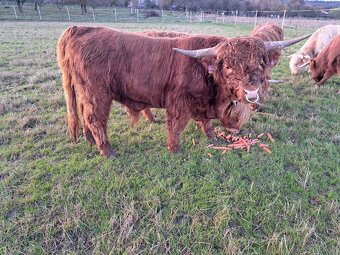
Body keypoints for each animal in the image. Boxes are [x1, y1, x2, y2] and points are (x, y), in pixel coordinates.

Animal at [57, 25, 308, 157]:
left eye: (260, 62)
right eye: (228, 66)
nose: (251, 93)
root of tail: (80, 29)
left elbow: (205, 123)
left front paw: (212, 136)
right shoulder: (178, 102)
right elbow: (176, 127)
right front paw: (174, 149)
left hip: (85, 92)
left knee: (84, 115)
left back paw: (90, 141)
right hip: (97, 93)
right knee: (95, 118)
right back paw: (107, 150)